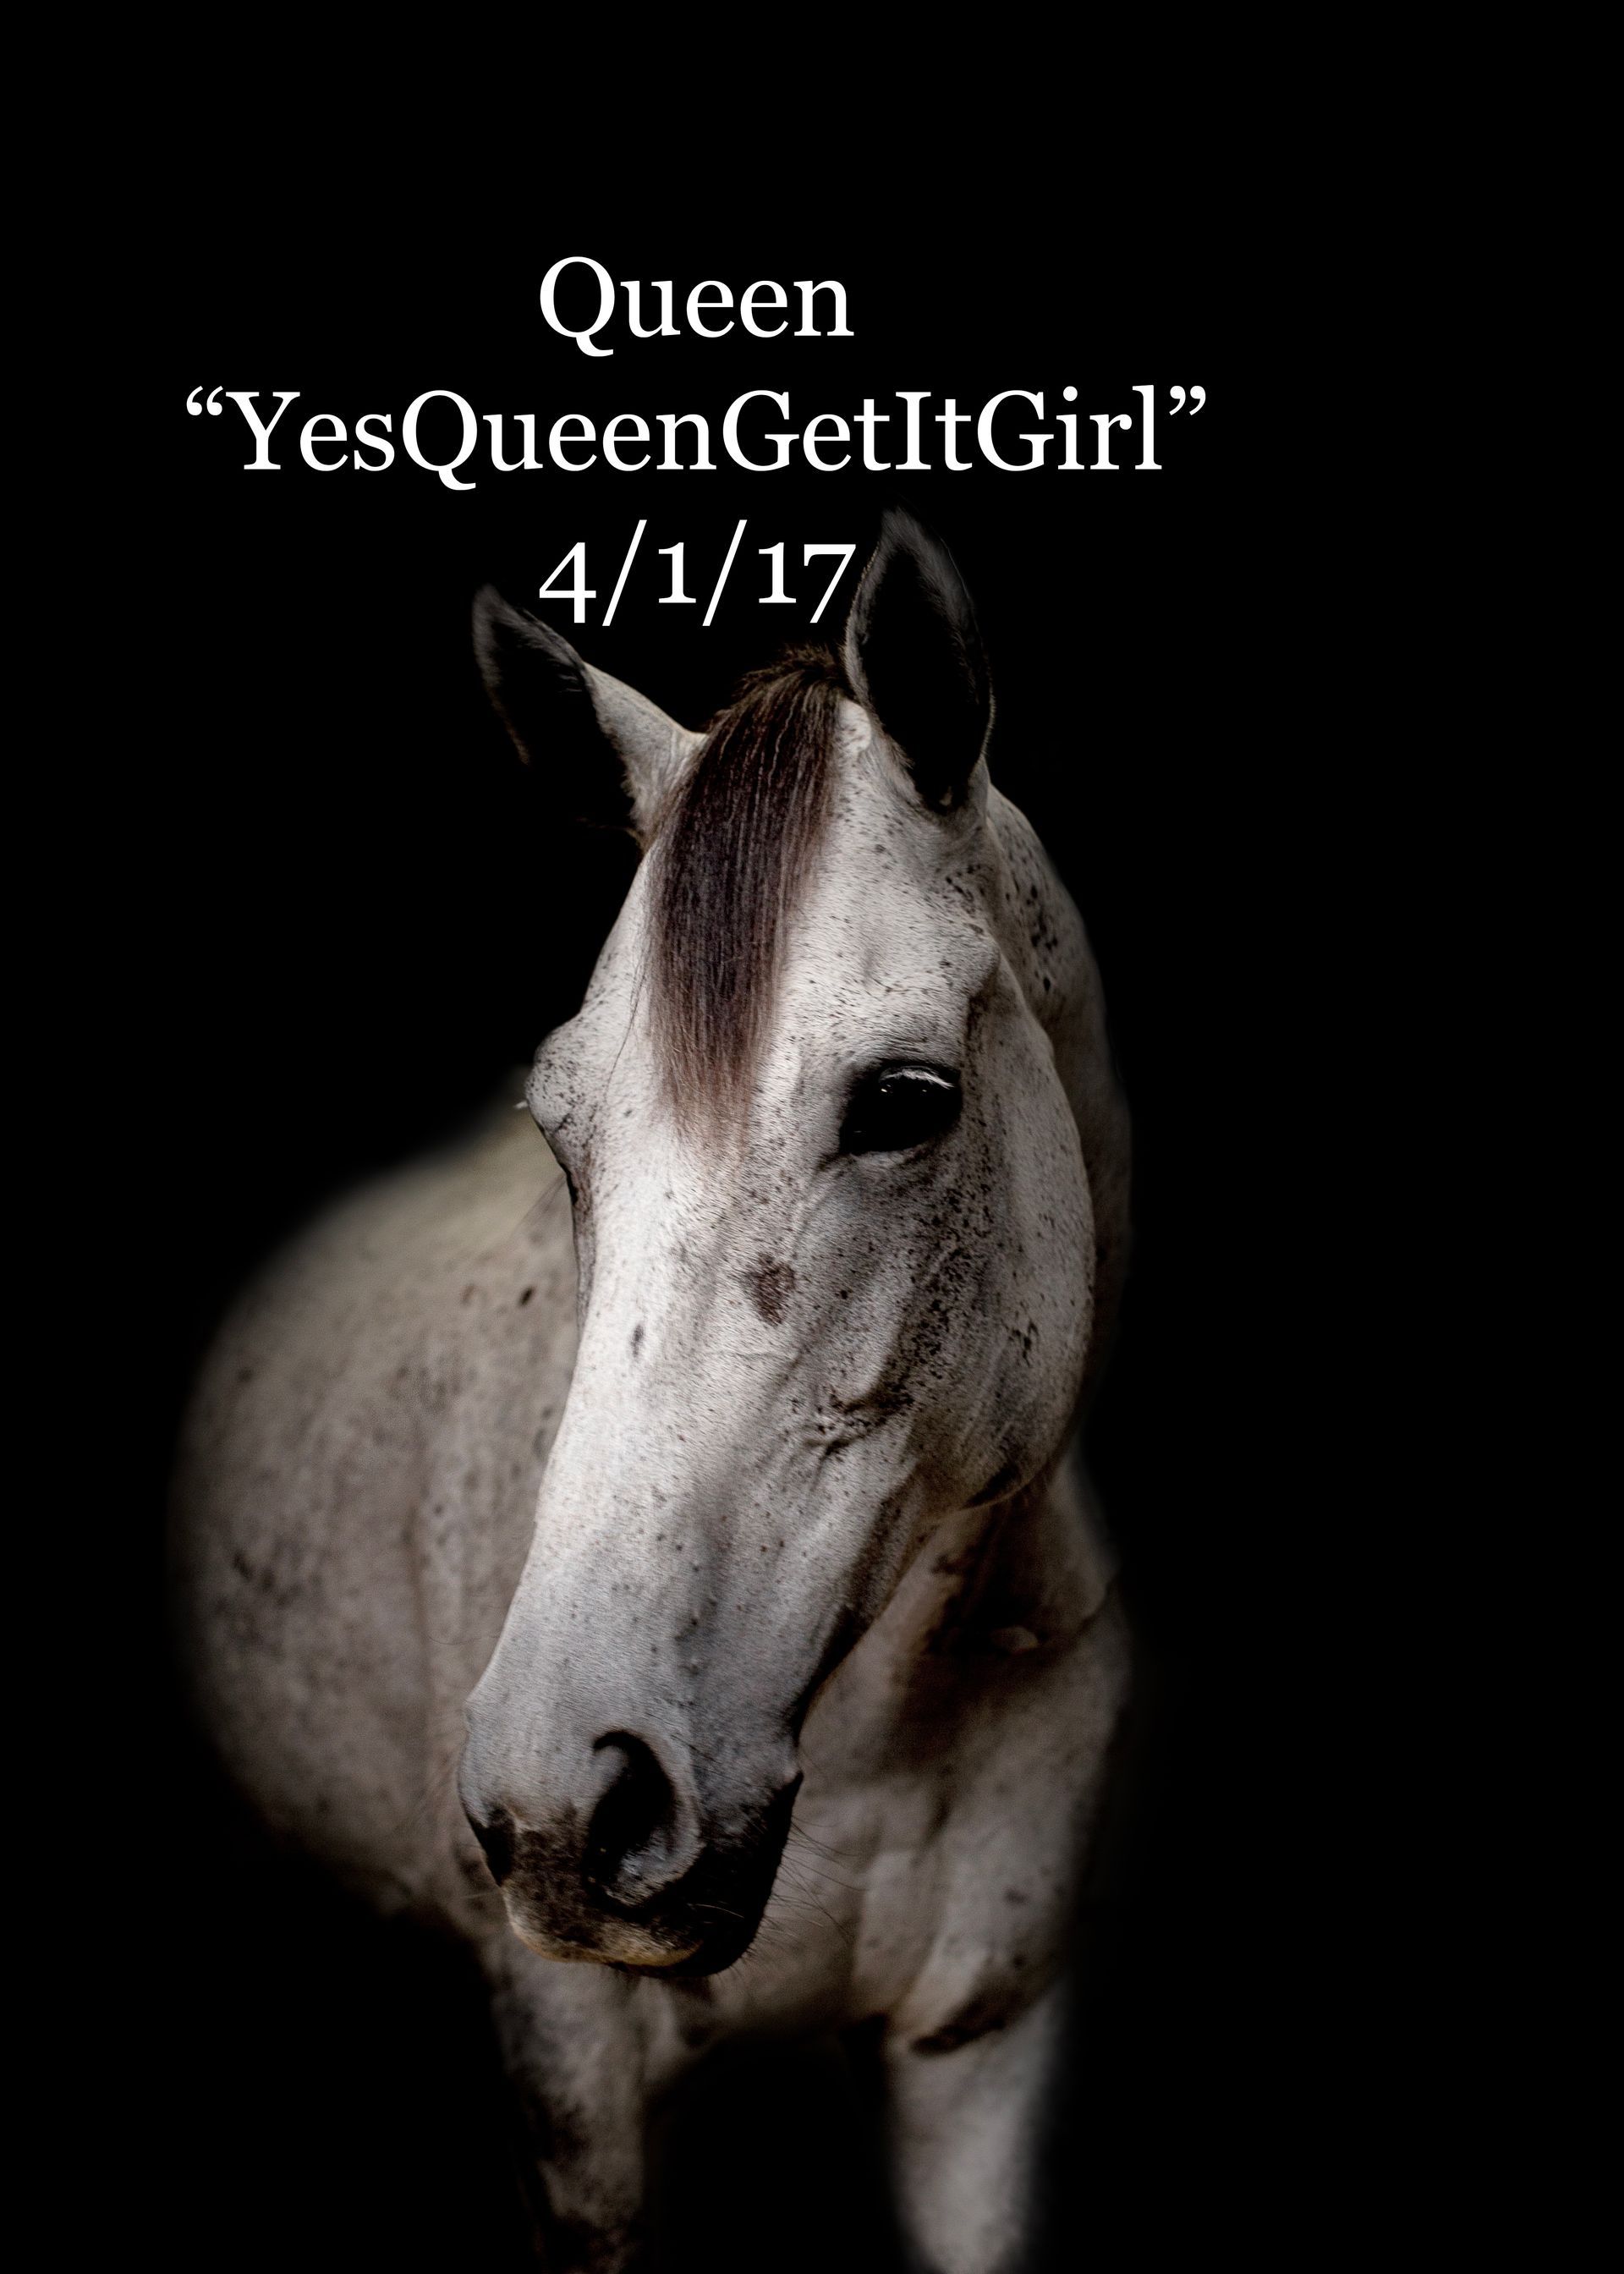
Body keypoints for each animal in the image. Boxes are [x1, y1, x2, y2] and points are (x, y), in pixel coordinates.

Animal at [172, 510, 1133, 2273]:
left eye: (907, 1101)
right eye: (564, 1127)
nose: (565, 1802)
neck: (883, 1734)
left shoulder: (980, 2051)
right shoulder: (576, 2083)